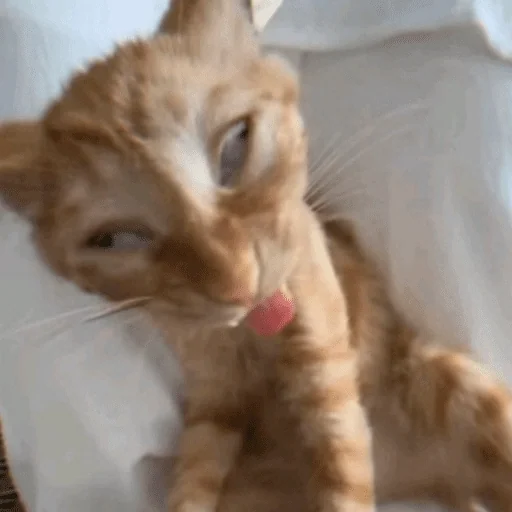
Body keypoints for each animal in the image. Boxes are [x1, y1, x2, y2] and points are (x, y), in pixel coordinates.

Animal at [0, 1, 511, 512]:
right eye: (118, 239)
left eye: (235, 146)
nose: (238, 284)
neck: (252, 335)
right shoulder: (214, 401)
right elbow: (194, 475)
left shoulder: (325, 369)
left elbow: (341, 471)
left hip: (446, 382)